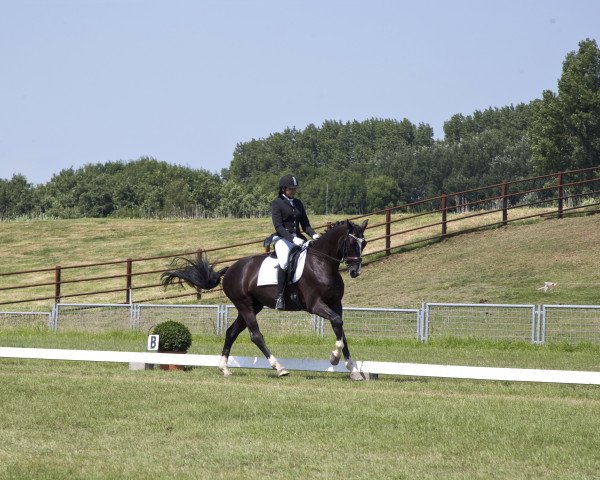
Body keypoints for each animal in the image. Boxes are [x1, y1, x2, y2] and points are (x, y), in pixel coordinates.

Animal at [161, 219, 366, 380]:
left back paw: (224, 369)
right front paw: (334, 358)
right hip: (244, 305)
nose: (355, 272)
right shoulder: (315, 305)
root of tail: (231, 269)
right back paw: (279, 368)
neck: (322, 264)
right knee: (256, 336)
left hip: (252, 306)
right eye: (351, 242)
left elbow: (341, 330)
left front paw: (353, 370)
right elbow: (338, 324)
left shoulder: (336, 305)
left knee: (231, 333)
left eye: (363, 243)